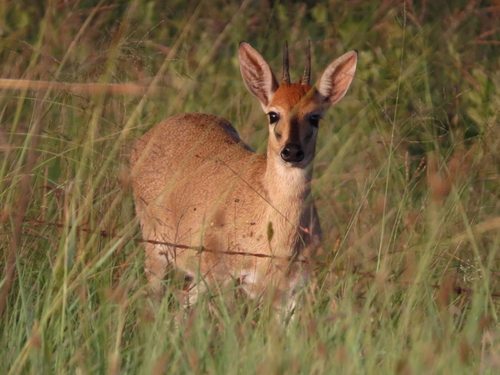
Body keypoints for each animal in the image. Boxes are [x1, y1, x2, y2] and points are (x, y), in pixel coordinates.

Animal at [129, 40, 356, 318]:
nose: (292, 151)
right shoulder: (222, 277)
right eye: (273, 114)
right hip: (155, 246)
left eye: (314, 117)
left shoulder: (291, 290)